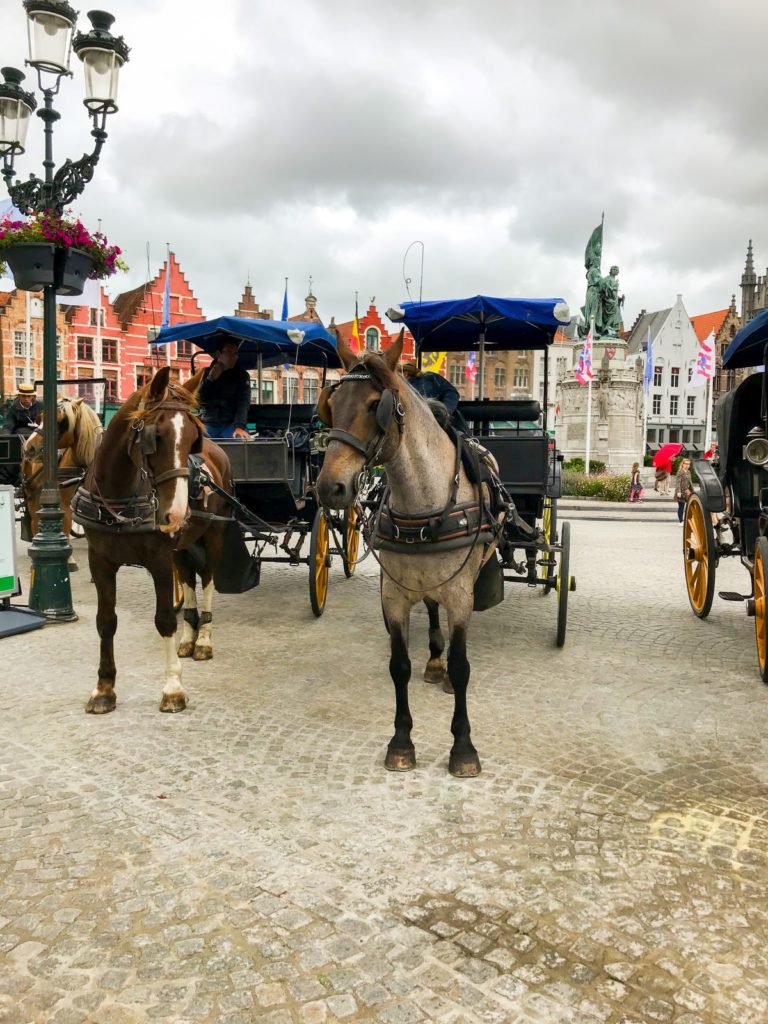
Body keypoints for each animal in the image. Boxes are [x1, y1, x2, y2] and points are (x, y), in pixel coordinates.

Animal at [21, 393, 102, 569]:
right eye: (41, 417)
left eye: (60, 421)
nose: (29, 447)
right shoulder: (64, 504)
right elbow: (65, 524)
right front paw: (68, 559)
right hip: (32, 497)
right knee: (36, 523)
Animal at [74, 366, 233, 712]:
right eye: (155, 437)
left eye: (193, 440)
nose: (178, 513)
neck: (121, 498)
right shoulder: (99, 561)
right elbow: (106, 621)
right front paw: (104, 688)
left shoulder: (159, 561)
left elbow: (164, 620)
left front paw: (173, 687)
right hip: (182, 547)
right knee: (187, 580)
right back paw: (188, 638)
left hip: (214, 536)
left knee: (208, 580)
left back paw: (203, 639)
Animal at [317, 333, 493, 774]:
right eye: (332, 403)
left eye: (373, 405)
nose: (329, 487)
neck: (423, 505)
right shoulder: (394, 595)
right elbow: (399, 666)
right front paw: (401, 742)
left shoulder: (461, 596)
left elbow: (462, 667)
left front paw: (463, 746)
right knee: (430, 612)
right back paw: (433, 661)